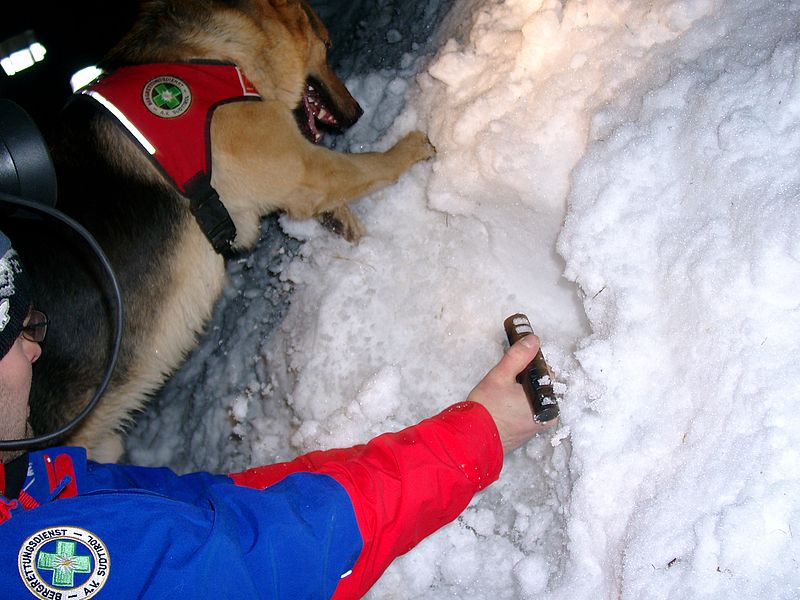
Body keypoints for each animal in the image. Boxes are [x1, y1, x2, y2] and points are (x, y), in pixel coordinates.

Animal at [9, 0, 434, 462]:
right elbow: (368, 165)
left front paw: (343, 223)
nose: (356, 111)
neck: (210, 56)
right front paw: (413, 146)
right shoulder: (305, 166)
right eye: (327, 45)